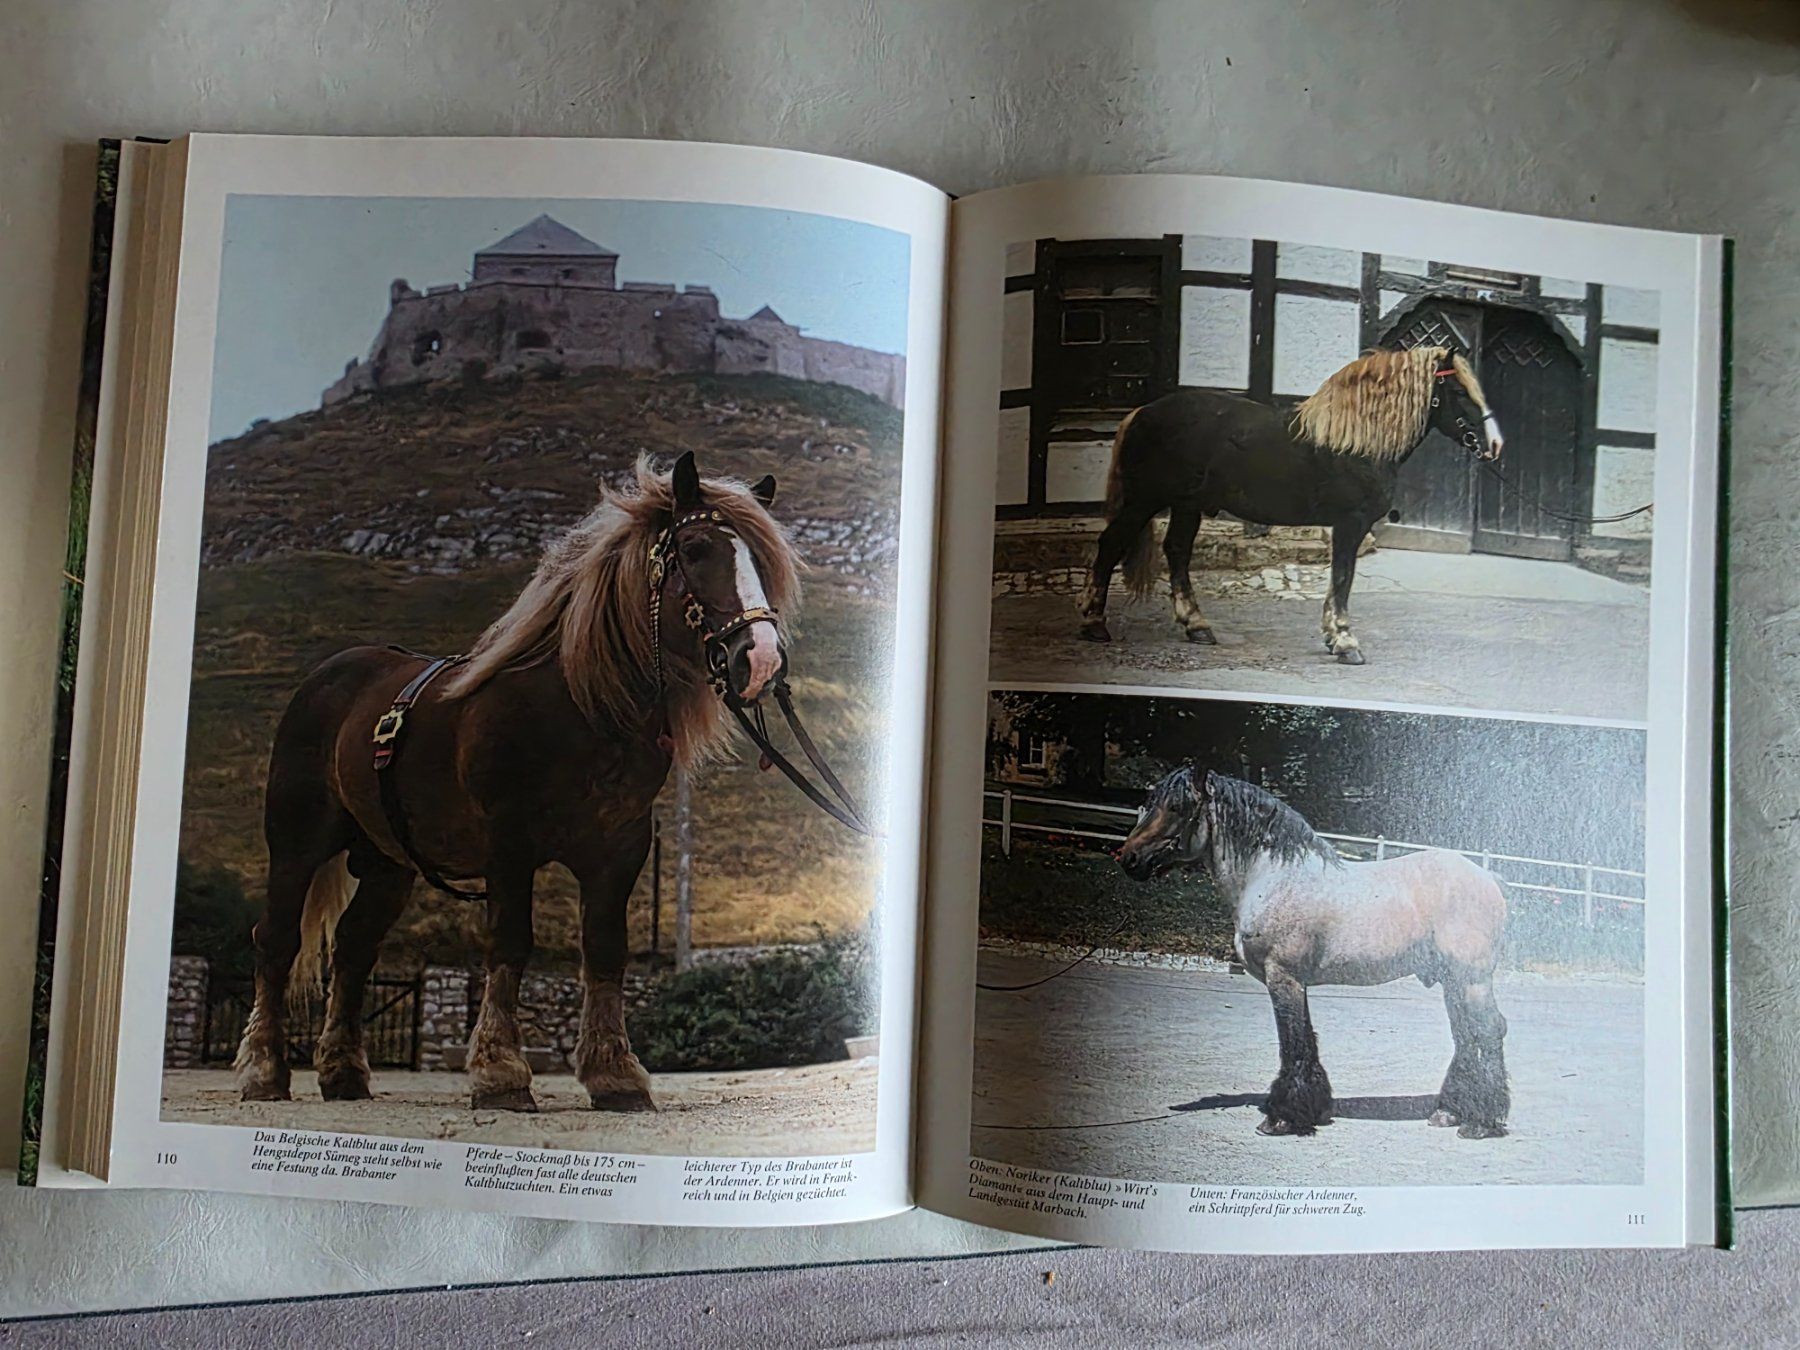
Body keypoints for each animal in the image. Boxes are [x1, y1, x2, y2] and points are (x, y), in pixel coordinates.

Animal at [235, 450, 802, 1114]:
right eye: (694, 547)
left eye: (758, 558)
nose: (760, 661)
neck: (579, 707)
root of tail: (327, 677)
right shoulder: (507, 844)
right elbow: (509, 944)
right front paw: (500, 1073)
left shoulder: (621, 849)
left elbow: (605, 950)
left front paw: (615, 1074)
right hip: (297, 844)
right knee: (277, 940)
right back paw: (264, 1071)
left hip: (386, 863)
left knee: (353, 948)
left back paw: (344, 1074)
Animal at [1077, 345, 1504, 664]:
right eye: (1460, 392)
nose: (1496, 445)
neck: (1356, 442)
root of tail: (1141, 413)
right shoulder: (1350, 523)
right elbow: (1344, 578)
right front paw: (1346, 643)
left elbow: (1338, 578)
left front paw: (1333, 637)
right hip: (1144, 501)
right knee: (1111, 546)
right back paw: (1094, 622)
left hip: (1186, 506)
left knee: (1177, 551)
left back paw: (1197, 626)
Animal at [1117, 767, 1510, 1140]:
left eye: (1177, 807)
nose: (1128, 858)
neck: (1274, 877)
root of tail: (1488, 878)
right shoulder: (1296, 982)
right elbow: (1307, 1040)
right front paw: (1313, 1109)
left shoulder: (1283, 977)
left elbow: (1292, 1043)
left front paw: (1281, 1119)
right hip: (1453, 983)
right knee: (1466, 1036)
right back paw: (1449, 1112)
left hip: (1471, 980)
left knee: (1488, 1031)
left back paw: (1481, 1122)